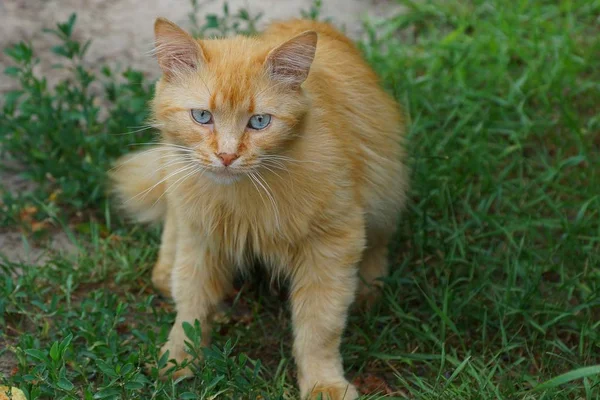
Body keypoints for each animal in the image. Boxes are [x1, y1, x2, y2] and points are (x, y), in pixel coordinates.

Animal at [109, 16, 406, 400]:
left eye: (259, 122)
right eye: (202, 116)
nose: (226, 155)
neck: (243, 197)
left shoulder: (334, 243)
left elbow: (319, 328)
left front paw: (323, 383)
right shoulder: (200, 237)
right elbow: (190, 306)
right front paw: (178, 360)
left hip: (386, 193)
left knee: (378, 247)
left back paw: (370, 288)